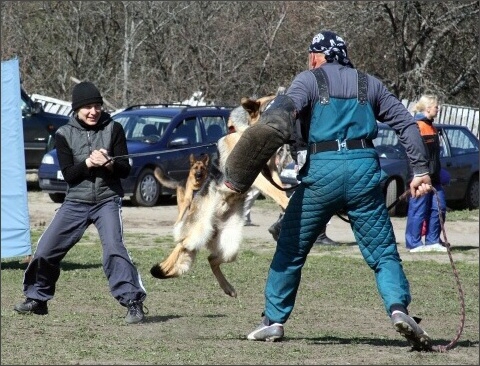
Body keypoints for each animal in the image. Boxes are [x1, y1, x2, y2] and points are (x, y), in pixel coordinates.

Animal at [150, 94, 290, 298]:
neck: (242, 130)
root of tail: (213, 229)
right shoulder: (255, 176)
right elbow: (277, 192)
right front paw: (287, 203)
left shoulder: (271, 171)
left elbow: (280, 189)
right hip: (197, 233)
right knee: (181, 245)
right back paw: (164, 268)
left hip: (230, 248)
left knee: (210, 259)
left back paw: (227, 287)